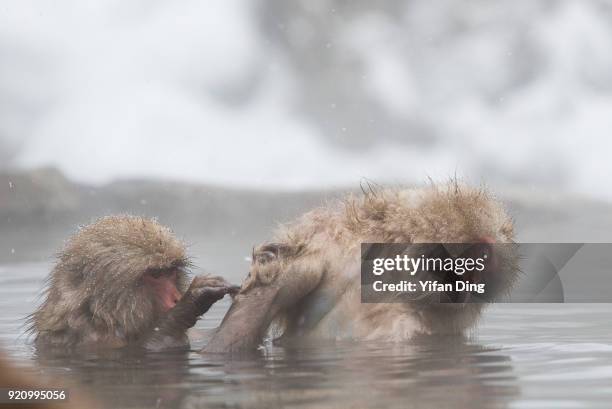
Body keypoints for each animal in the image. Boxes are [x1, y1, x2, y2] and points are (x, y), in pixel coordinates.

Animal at [29, 215, 238, 350]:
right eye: (155, 274)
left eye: (170, 272)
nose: (177, 298)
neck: (102, 318)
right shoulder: (90, 339)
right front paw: (191, 302)